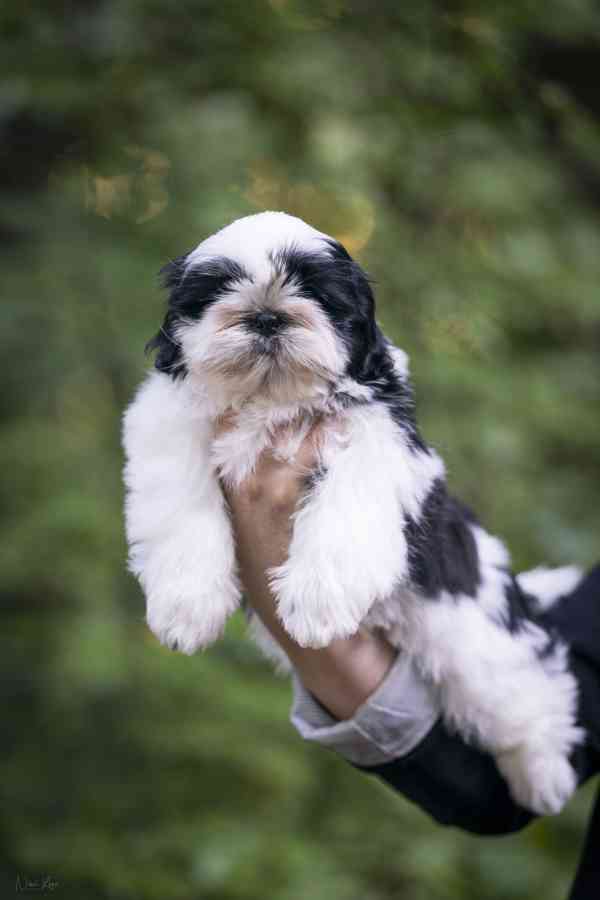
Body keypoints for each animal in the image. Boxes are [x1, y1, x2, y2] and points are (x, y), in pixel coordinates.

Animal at [123, 211, 584, 816]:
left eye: (316, 293)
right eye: (220, 289)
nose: (267, 314)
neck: (271, 400)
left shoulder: (376, 438)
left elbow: (345, 509)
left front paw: (317, 602)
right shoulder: (168, 422)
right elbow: (180, 503)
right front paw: (187, 607)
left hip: (470, 637)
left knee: (528, 691)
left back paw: (544, 775)